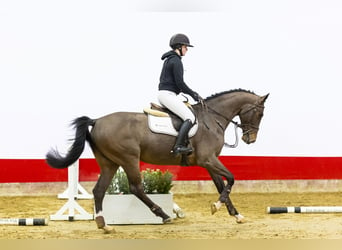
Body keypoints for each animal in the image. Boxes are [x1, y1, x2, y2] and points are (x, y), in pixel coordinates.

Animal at [46, 88, 268, 232]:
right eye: (260, 113)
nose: (250, 139)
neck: (211, 119)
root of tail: (97, 120)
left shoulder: (210, 162)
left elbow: (222, 185)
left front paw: (235, 214)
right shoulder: (208, 159)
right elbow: (231, 179)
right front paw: (217, 206)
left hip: (110, 163)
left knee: (99, 190)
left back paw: (104, 224)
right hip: (129, 158)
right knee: (136, 188)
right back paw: (164, 215)